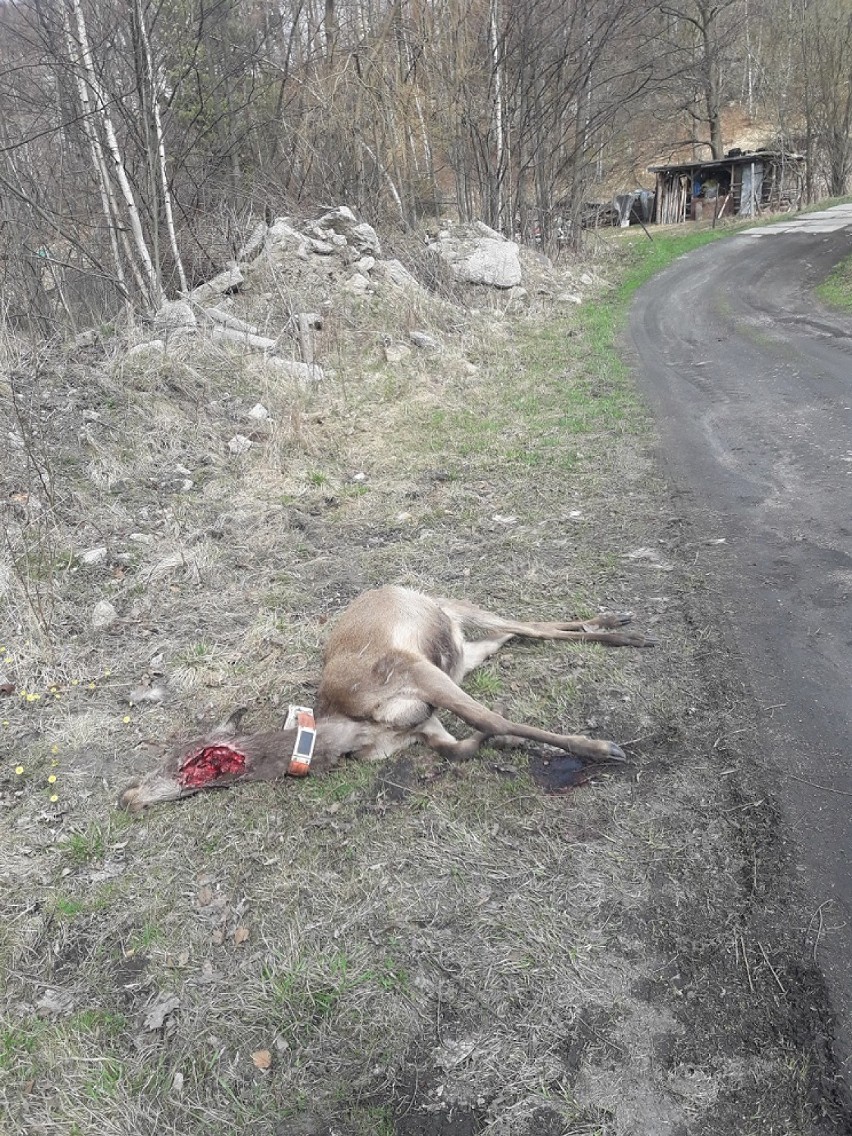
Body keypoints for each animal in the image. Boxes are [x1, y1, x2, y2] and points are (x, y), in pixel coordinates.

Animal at [120, 586, 654, 808]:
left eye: (185, 762)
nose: (128, 796)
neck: (354, 733)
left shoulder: (409, 670)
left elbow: (492, 720)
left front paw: (599, 748)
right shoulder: (425, 725)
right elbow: (464, 745)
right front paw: (512, 746)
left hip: (448, 617)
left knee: (524, 625)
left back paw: (622, 629)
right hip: (465, 652)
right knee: (514, 635)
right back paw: (615, 624)